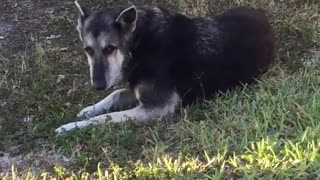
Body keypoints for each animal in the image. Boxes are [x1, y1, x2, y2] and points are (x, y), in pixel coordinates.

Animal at [53, 0, 274, 134]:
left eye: (110, 48)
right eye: (88, 50)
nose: (98, 85)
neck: (138, 41)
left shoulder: (158, 106)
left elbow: (107, 117)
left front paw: (71, 126)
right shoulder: (136, 87)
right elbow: (113, 96)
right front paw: (89, 110)